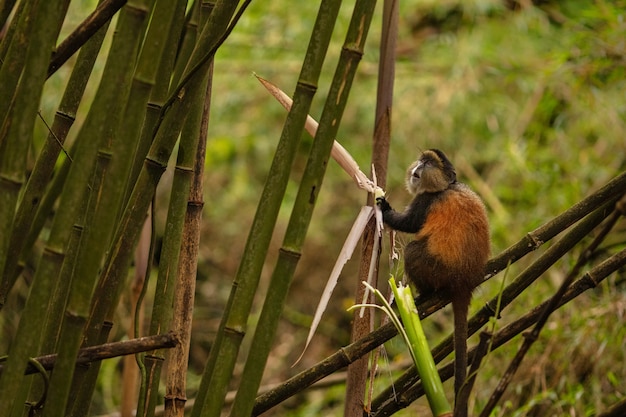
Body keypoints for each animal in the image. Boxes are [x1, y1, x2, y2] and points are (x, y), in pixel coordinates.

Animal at [376, 148, 488, 412]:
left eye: (428, 163)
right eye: (422, 160)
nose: (417, 167)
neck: (445, 187)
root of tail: (465, 282)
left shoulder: (424, 202)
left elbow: (409, 224)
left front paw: (384, 208)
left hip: (437, 270)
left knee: (413, 250)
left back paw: (424, 294)